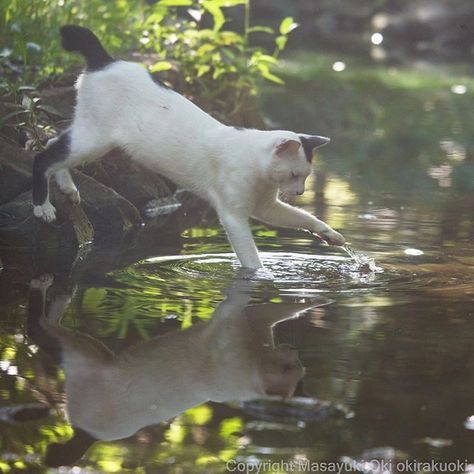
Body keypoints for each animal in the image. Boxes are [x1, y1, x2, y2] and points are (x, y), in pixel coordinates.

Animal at [33, 25, 344, 268]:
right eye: (294, 175)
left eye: (305, 177)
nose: (300, 191)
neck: (258, 171)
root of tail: (107, 60)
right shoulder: (233, 215)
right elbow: (251, 259)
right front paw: (261, 277)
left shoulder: (266, 207)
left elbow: (302, 217)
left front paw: (330, 235)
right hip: (95, 139)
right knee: (43, 155)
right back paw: (43, 207)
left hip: (89, 135)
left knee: (52, 141)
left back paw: (68, 189)